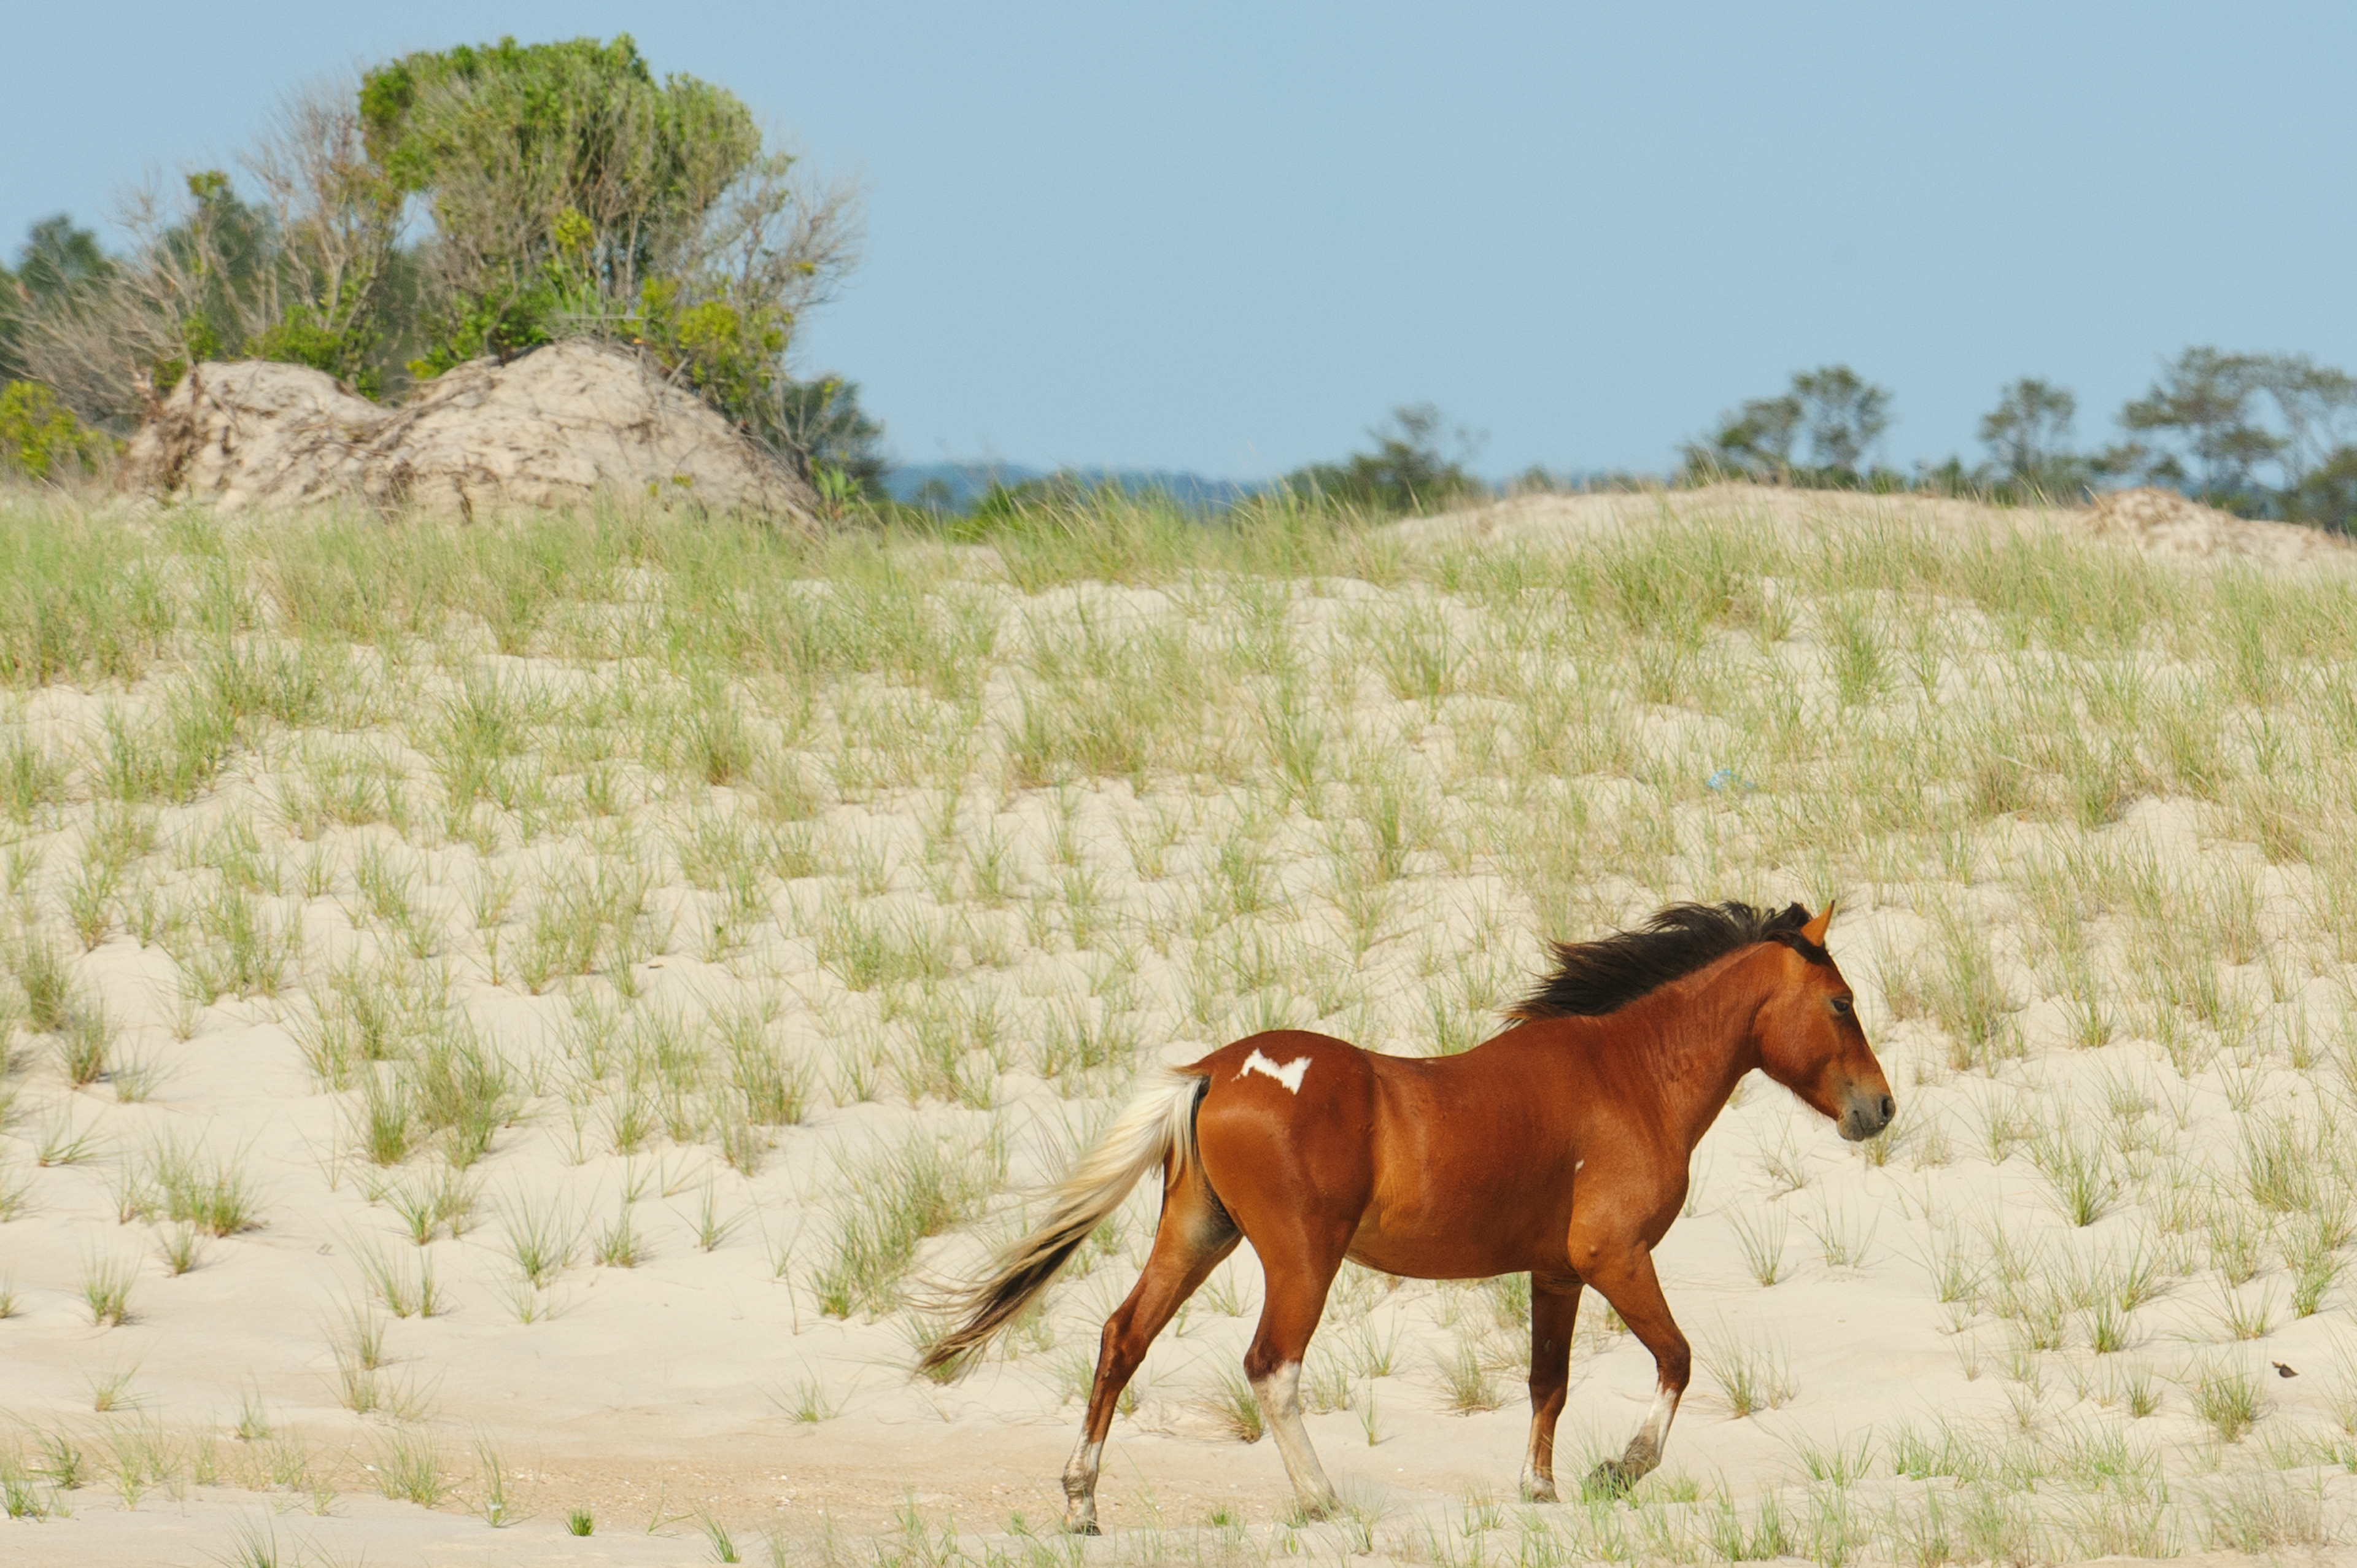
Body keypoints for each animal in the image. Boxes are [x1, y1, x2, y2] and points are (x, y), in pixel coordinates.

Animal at [920, 900, 1892, 1532]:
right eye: (1842, 1002)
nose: (1879, 1108)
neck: (1628, 1074)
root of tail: (1215, 1068)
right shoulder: (1612, 1255)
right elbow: (1678, 1358)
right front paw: (1620, 1468)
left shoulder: (1556, 1271)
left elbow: (1548, 1381)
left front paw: (1540, 1489)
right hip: (1302, 1259)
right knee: (1271, 1365)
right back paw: (1320, 1498)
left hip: (1195, 1236)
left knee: (1123, 1338)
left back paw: (1082, 1501)